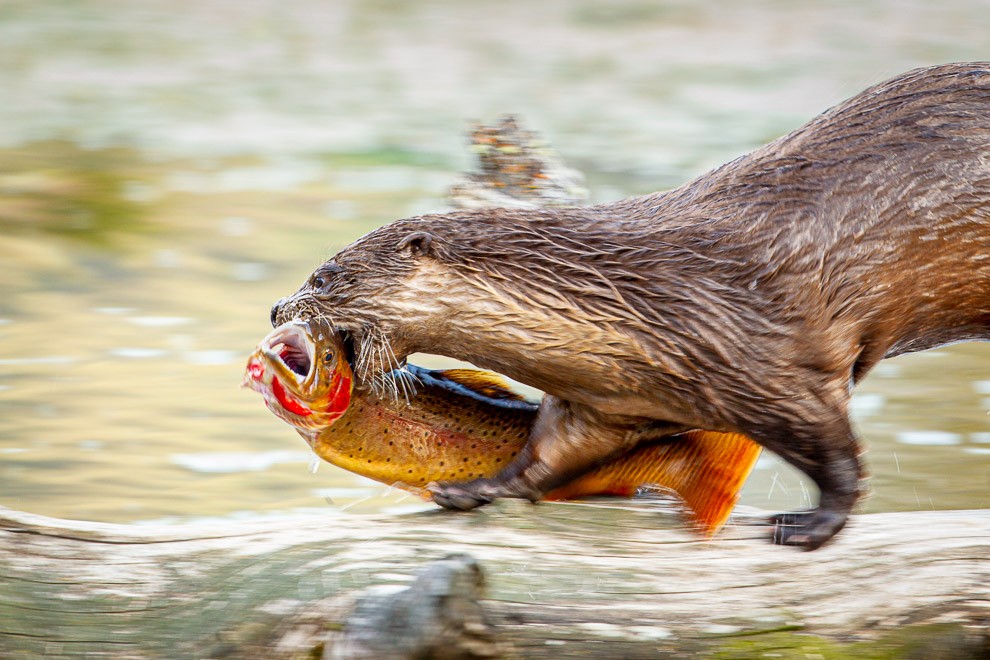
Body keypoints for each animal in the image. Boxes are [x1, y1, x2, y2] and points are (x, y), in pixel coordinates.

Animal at [272, 62, 990, 548]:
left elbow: (837, 451)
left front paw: (811, 524)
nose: (279, 309)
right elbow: (546, 456)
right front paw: (475, 489)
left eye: (327, 275)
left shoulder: (780, 364)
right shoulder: (609, 400)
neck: (647, 298)